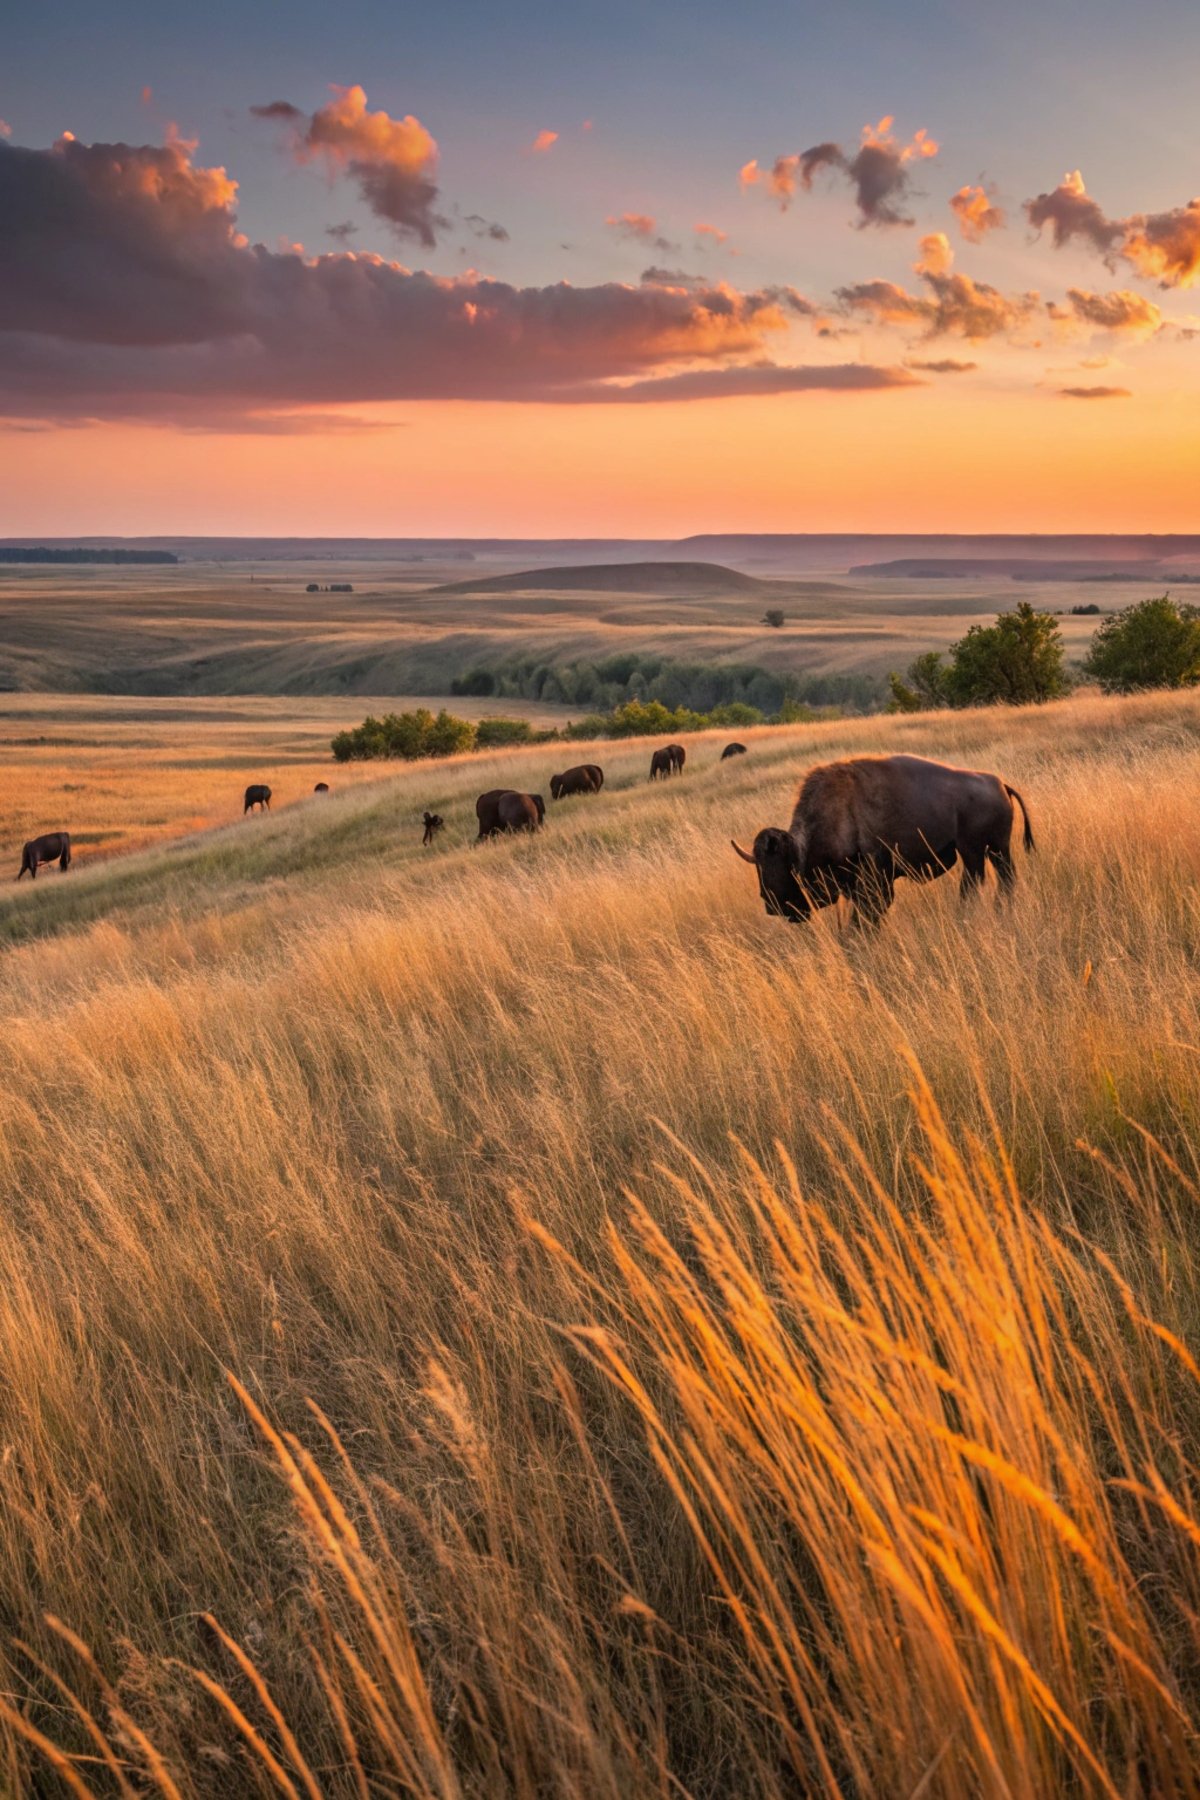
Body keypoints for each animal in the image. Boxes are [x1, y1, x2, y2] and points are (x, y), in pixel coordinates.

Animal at [732, 753, 1034, 930]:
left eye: (786, 869)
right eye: (759, 868)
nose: (773, 906)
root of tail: (1000, 784)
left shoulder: (875, 879)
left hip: (975, 850)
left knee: (975, 882)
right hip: (995, 850)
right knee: (1003, 879)